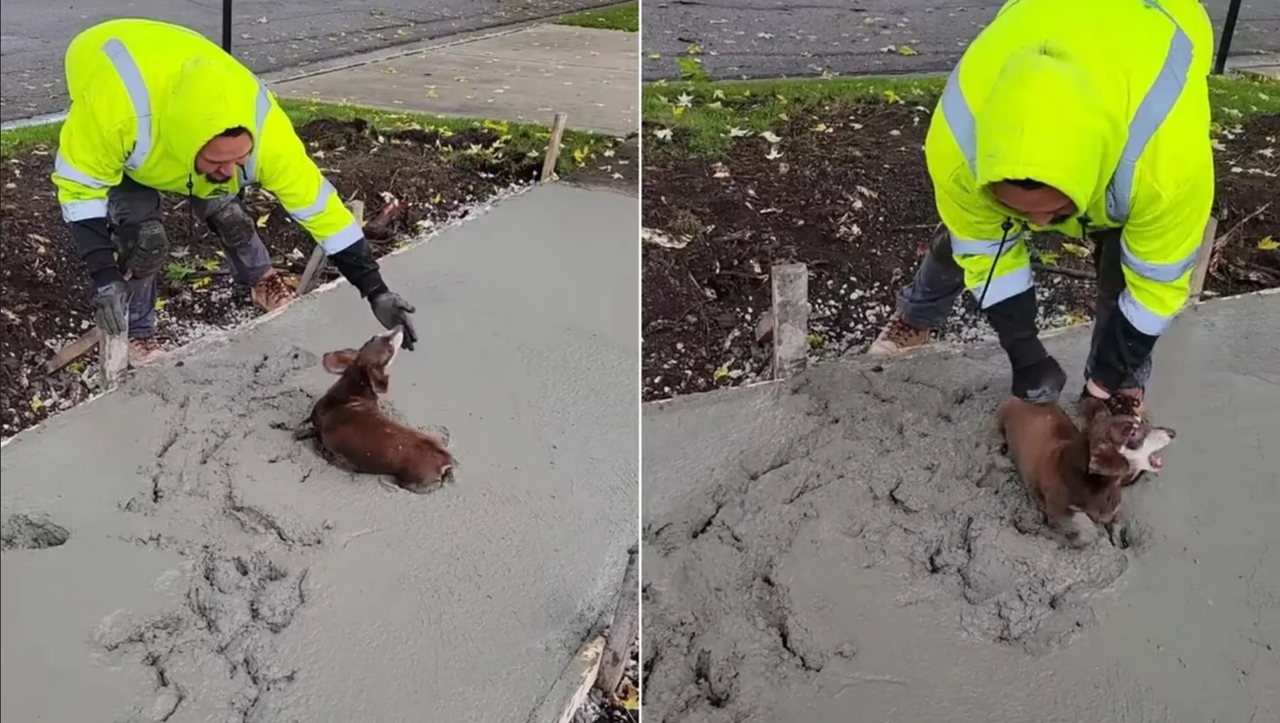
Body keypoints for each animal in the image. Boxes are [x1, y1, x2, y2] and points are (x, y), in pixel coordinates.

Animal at [296, 325, 458, 491]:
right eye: (374, 337)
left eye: (390, 350)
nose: (400, 326)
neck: (354, 390)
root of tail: (445, 460)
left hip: (412, 481)